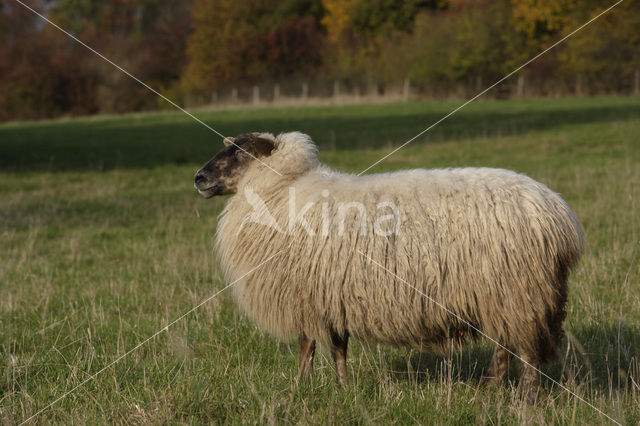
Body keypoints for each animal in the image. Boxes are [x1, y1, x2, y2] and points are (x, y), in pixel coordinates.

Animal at [194, 131, 584, 402]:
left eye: (239, 151)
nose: (198, 178)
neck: (280, 192)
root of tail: (562, 217)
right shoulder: (332, 295)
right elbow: (338, 347)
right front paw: (342, 388)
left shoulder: (307, 294)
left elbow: (309, 346)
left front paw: (304, 388)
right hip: (502, 294)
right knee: (505, 347)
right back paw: (489, 390)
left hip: (518, 291)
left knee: (527, 353)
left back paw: (525, 402)